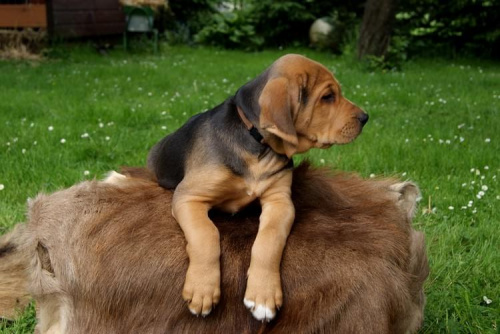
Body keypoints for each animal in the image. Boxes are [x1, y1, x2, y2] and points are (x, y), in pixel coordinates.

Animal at [146, 53, 370, 320]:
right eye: (327, 97)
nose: (366, 118)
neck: (258, 145)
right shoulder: (188, 196)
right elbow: (206, 233)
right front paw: (202, 290)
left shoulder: (280, 201)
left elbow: (269, 240)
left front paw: (263, 295)